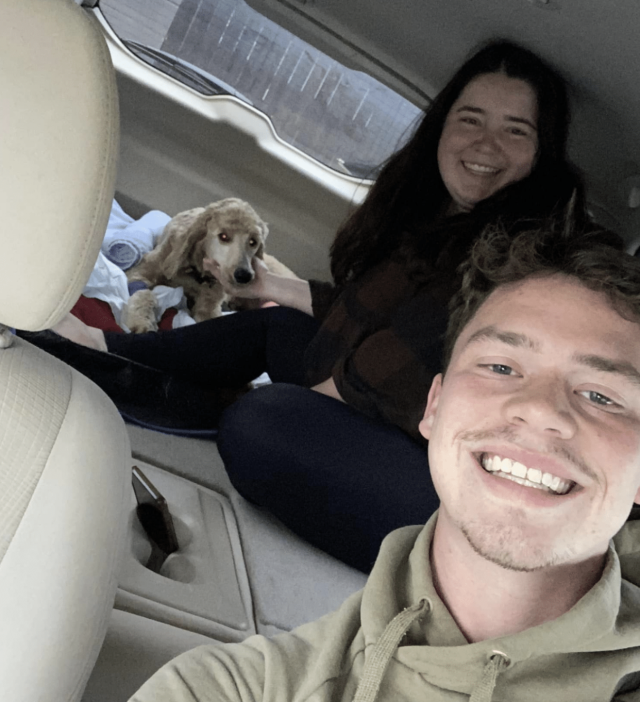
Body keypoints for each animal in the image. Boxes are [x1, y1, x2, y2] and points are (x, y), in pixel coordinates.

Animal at [124, 198, 297, 333]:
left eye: (253, 241)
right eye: (224, 236)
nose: (244, 276)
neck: (195, 273)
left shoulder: (209, 307)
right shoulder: (141, 272)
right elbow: (144, 294)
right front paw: (143, 322)